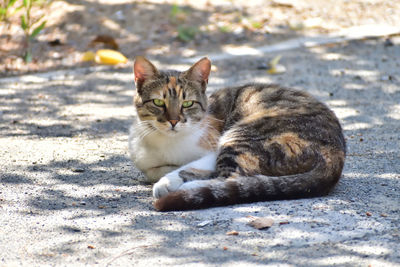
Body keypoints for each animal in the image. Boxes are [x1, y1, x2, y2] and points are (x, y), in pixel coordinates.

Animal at [130, 56, 346, 211]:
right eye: (158, 102)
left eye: (188, 103)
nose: (174, 121)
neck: (168, 144)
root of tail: (336, 152)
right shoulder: (146, 162)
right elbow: (155, 170)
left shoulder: (213, 147)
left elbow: (189, 167)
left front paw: (168, 182)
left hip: (244, 134)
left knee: (232, 177)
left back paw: (189, 189)